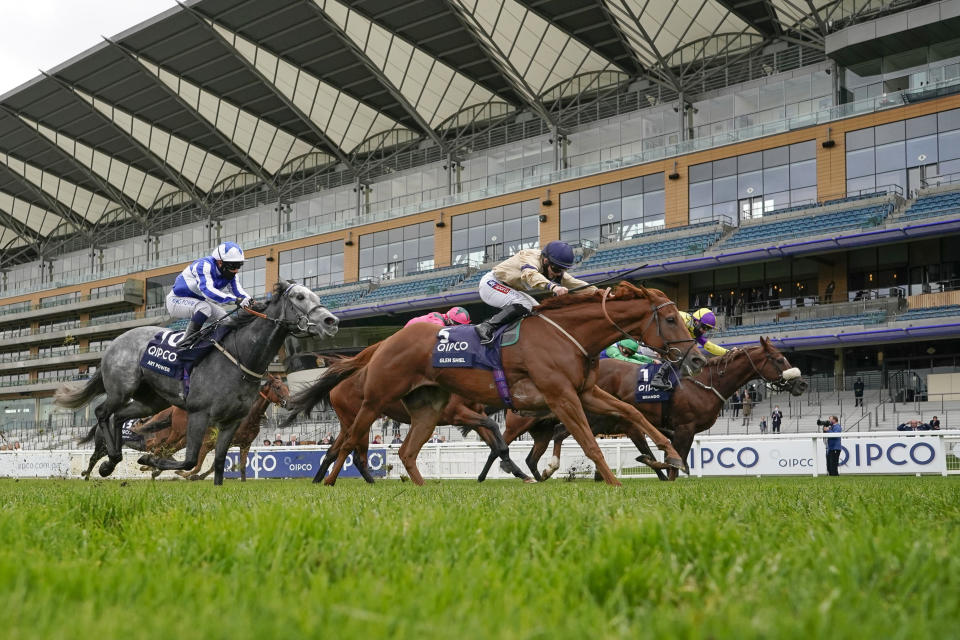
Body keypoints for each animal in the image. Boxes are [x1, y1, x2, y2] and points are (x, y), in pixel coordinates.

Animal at [56, 280, 340, 484]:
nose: (332, 321)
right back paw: (109, 461)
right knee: (102, 412)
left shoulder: (231, 422)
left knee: (118, 416)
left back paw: (111, 462)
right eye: (300, 297)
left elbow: (219, 463)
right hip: (121, 390)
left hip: (152, 402)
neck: (239, 358)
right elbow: (189, 460)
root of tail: (114, 343)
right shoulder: (199, 414)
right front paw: (151, 463)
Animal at [284, 282, 704, 488]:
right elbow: (588, 441)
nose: (696, 358)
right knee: (346, 445)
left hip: (428, 408)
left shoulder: (586, 392)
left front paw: (671, 456)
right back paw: (329, 481)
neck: (567, 334)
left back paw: (421, 489)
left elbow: (633, 413)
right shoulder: (561, 396)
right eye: (670, 319)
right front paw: (614, 482)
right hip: (373, 402)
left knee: (404, 451)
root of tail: (383, 343)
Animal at [484, 340, 808, 480]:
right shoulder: (684, 428)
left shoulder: (664, 429)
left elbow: (667, 458)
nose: (803, 383)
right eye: (778, 359)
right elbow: (675, 461)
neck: (704, 383)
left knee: (550, 440)